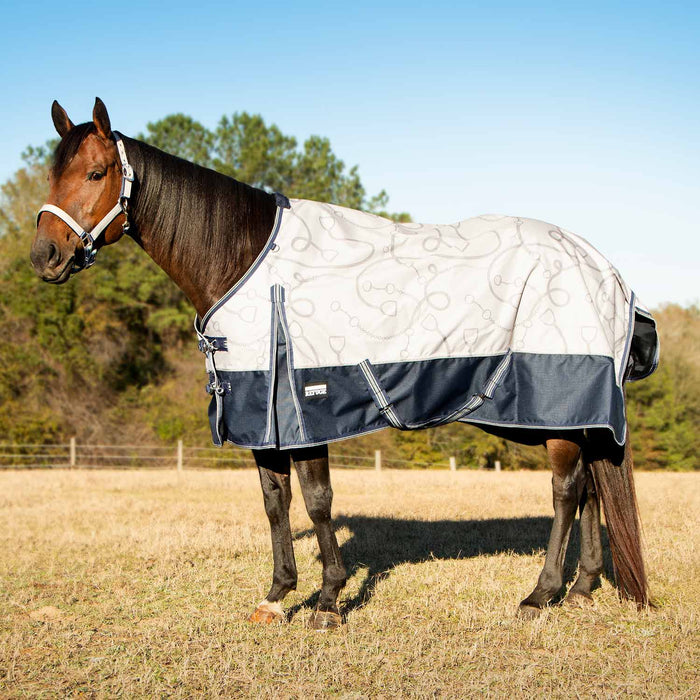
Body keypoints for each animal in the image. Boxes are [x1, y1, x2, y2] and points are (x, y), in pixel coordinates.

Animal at [31, 98, 656, 630]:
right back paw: (581, 589)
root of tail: (603, 267)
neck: (247, 260)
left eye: (96, 173)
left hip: (556, 410)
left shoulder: (306, 410)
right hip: (579, 417)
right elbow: (276, 503)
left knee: (567, 491)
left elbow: (317, 501)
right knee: (594, 487)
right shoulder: (262, 416)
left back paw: (540, 594)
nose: (45, 257)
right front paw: (277, 595)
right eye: (51, 175)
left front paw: (329, 601)